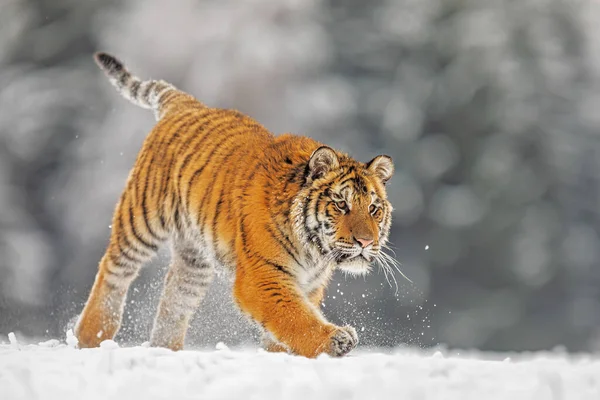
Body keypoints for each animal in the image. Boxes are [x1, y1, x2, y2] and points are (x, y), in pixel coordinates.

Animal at [74, 52, 394, 356]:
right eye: (341, 204)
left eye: (373, 209)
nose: (366, 242)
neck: (315, 251)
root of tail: (188, 103)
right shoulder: (262, 276)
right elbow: (295, 317)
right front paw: (335, 341)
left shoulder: (310, 284)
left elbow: (286, 325)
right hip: (142, 220)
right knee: (113, 269)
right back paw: (91, 336)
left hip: (194, 258)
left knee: (174, 302)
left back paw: (165, 350)